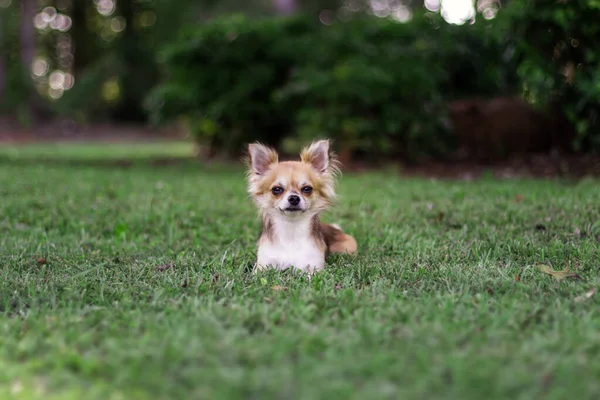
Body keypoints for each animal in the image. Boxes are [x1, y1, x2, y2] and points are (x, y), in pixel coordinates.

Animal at [245, 139, 356, 274]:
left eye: (307, 189)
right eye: (277, 189)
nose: (294, 198)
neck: (291, 231)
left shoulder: (315, 267)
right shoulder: (263, 266)